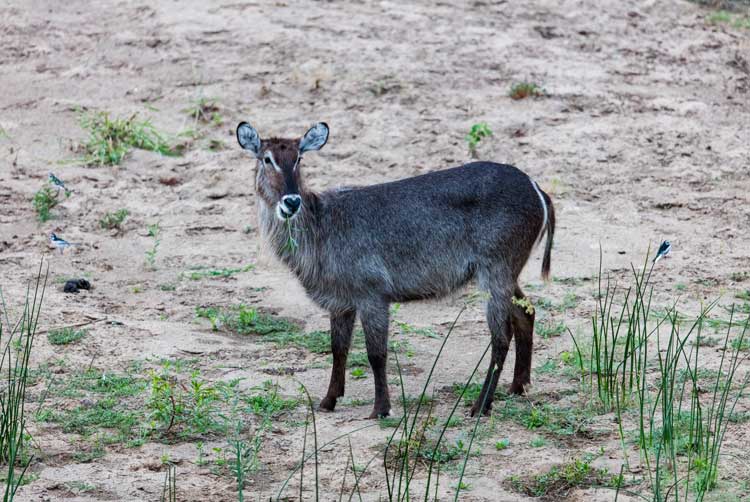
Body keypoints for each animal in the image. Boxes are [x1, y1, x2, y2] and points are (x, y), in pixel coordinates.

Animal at [238, 120, 556, 416]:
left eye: (299, 159)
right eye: (266, 159)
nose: (291, 202)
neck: (321, 226)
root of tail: (538, 189)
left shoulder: (372, 295)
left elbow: (376, 354)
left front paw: (381, 408)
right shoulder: (341, 303)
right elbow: (338, 349)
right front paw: (328, 401)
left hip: (496, 271)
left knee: (501, 336)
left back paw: (481, 405)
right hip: (505, 274)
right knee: (526, 312)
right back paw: (518, 386)